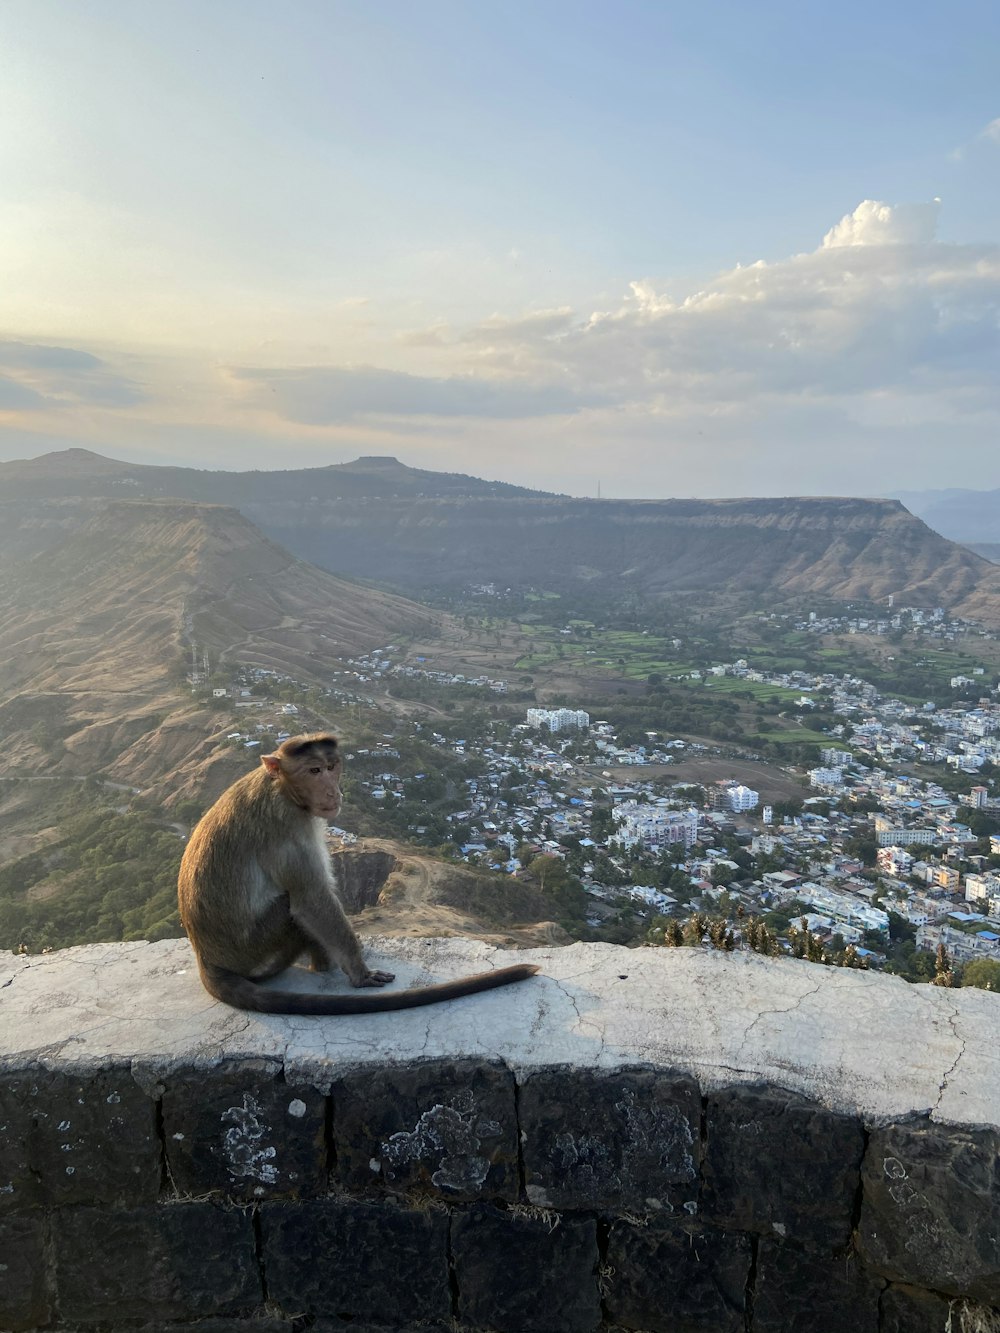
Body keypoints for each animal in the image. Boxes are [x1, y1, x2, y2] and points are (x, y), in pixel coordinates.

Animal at [180, 735, 541, 1013]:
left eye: (331, 767)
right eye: (313, 771)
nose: (333, 791)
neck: (281, 788)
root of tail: (207, 960)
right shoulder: (289, 826)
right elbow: (312, 899)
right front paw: (358, 971)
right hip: (263, 950)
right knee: (293, 910)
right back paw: (324, 964)